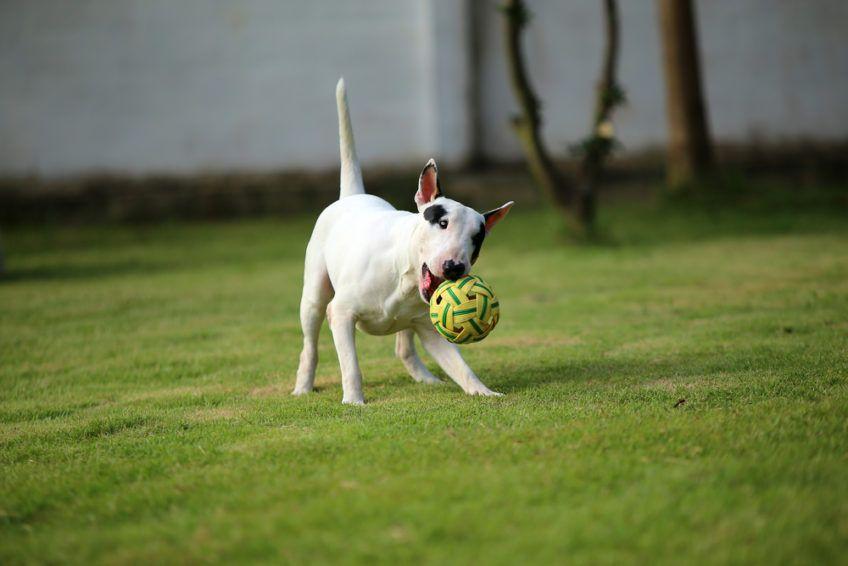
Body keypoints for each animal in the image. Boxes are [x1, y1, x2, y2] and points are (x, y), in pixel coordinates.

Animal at [294, 81, 510, 408]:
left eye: (477, 237)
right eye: (442, 223)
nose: (455, 268)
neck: (402, 273)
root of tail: (352, 195)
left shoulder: (431, 327)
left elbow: (460, 365)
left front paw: (483, 391)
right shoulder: (342, 313)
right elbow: (350, 363)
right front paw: (354, 400)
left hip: (409, 323)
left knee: (404, 346)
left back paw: (426, 378)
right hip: (314, 293)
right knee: (311, 341)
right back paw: (303, 387)